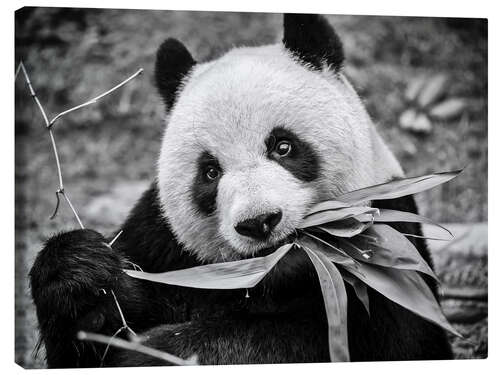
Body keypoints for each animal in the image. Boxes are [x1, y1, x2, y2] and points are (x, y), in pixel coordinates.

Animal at [29, 12, 456, 368]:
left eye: (283, 146)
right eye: (210, 172)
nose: (259, 222)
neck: (272, 275)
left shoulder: (387, 250)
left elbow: (388, 339)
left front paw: (158, 352)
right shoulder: (160, 243)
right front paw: (83, 273)